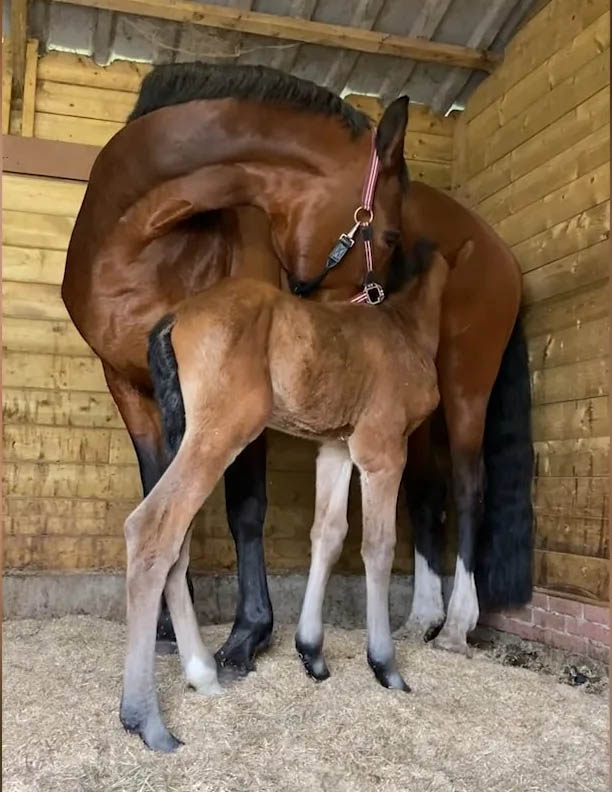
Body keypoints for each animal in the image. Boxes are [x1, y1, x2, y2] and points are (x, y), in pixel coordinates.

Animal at [120, 240, 454, 748]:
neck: (405, 327)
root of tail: (177, 317)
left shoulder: (336, 447)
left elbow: (328, 535)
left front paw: (312, 654)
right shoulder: (381, 449)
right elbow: (378, 547)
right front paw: (386, 667)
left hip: (188, 434)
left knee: (178, 542)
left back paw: (202, 674)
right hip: (221, 433)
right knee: (152, 527)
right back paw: (147, 720)